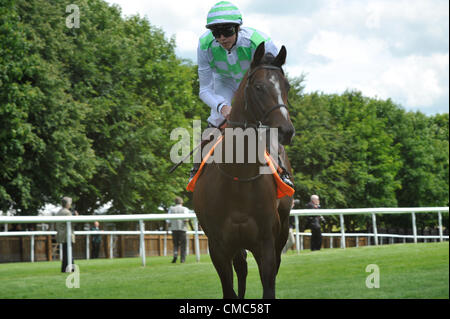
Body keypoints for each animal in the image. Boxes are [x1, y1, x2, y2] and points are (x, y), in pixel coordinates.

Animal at [193, 42, 296, 300]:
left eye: (286, 86)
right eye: (259, 87)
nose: (286, 131)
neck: (237, 178)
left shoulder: (266, 244)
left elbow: (269, 286)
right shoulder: (218, 248)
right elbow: (229, 289)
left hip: (281, 229)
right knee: (241, 268)